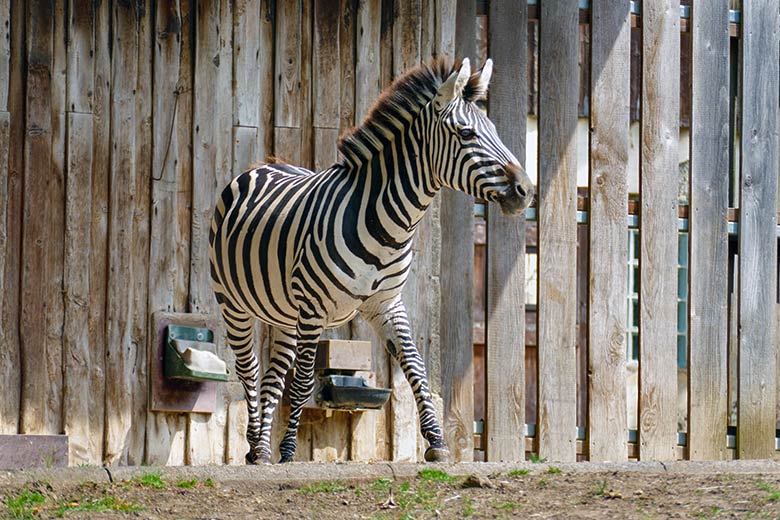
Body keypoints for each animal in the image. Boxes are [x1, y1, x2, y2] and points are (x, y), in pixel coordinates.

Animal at [209, 57, 536, 464]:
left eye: (493, 130)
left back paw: (262, 449)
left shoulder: (386, 303)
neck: (389, 226)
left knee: (272, 376)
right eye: (466, 134)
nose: (526, 191)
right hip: (234, 303)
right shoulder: (314, 307)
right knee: (249, 370)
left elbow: (415, 365)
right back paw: (258, 445)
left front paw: (437, 443)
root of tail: (266, 165)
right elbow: (304, 381)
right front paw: (288, 452)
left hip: (285, 313)